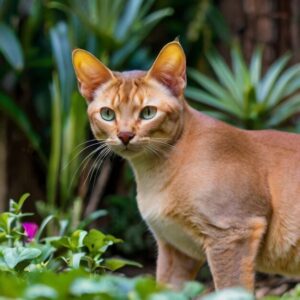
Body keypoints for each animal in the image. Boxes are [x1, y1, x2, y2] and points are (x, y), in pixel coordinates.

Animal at [72, 41, 300, 292]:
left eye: (148, 112)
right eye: (107, 114)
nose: (125, 135)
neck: (154, 175)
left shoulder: (233, 233)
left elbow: (230, 290)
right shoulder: (177, 249)